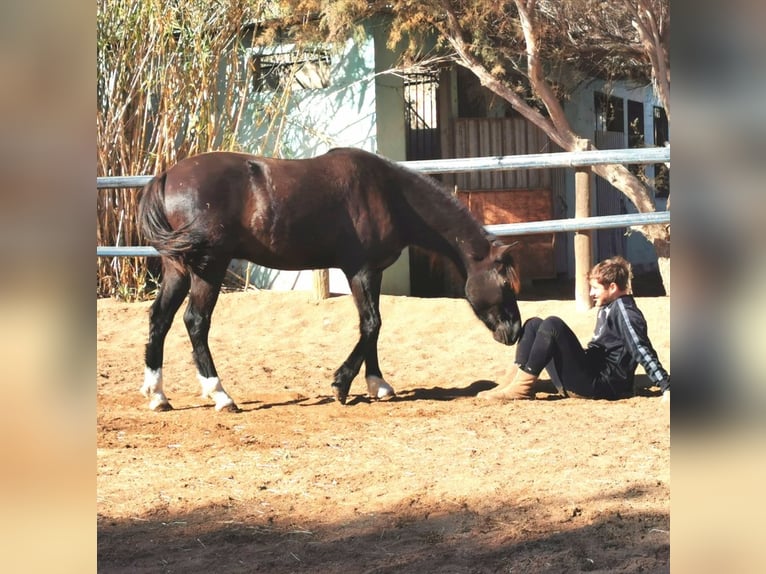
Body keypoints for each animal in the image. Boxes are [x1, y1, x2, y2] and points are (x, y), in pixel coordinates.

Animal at [140, 146, 520, 412]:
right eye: (505, 284)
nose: (514, 331)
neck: (389, 194)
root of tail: (167, 176)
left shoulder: (374, 272)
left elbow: (373, 327)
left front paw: (378, 384)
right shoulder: (360, 270)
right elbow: (371, 324)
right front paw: (342, 384)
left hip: (178, 269)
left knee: (160, 318)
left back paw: (158, 395)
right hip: (209, 267)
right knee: (196, 321)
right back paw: (220, 394)